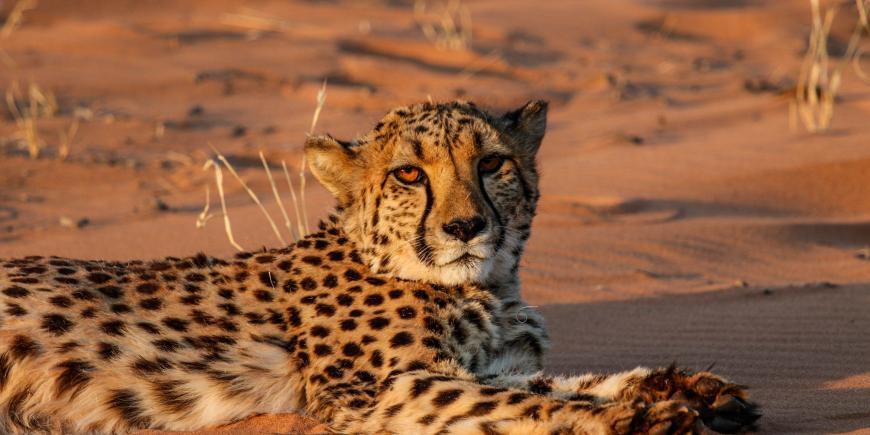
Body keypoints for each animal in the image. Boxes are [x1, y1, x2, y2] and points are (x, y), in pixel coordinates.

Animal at [0, 100, 760, 434]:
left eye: (492, 163)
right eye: (408, 175)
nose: (466, 227)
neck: (481, 284)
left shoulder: (478, 364)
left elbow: (552, 381)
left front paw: (682, 385)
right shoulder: (372, 395)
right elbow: (525, 403)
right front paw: (643, 417)